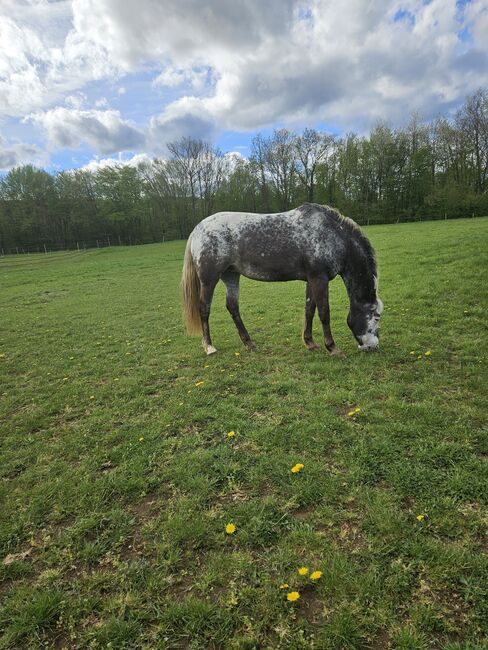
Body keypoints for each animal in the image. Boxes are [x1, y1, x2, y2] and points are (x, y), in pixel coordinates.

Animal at [181, 203, 383, 356]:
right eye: (376, 316)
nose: (373, 346)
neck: (332, 234)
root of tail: (198, 229)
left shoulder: (311, 279)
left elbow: (309, 310)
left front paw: (310, 343)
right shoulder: (319, 278)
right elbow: (324, 313)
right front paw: (332, 347)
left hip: (231, 276)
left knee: (233, 307)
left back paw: (248, 342)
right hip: (209, 280)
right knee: (204, 309)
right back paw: (209, 346)